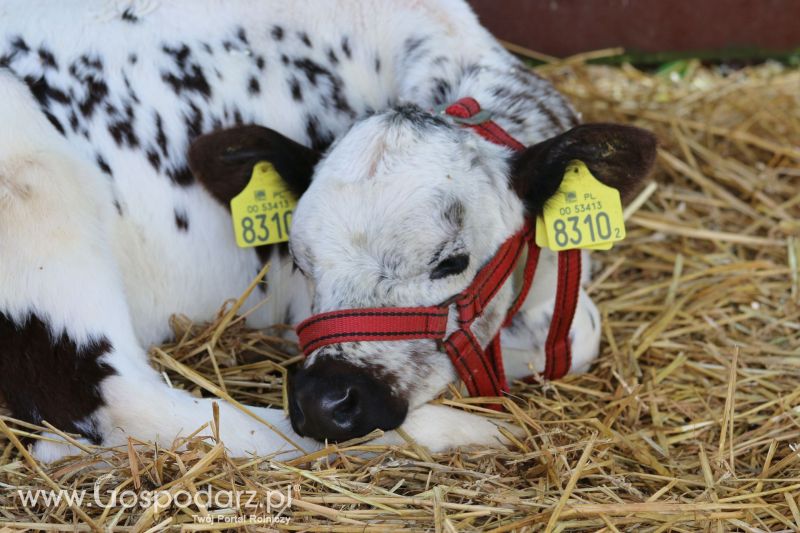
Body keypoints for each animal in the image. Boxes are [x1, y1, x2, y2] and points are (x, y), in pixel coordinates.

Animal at [0, 0, 656, 460]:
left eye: (451, 261)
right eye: (302, 262)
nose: (323, 401)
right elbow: (577, 333)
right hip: (39, 198)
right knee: (134, 407)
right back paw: (463, 433)